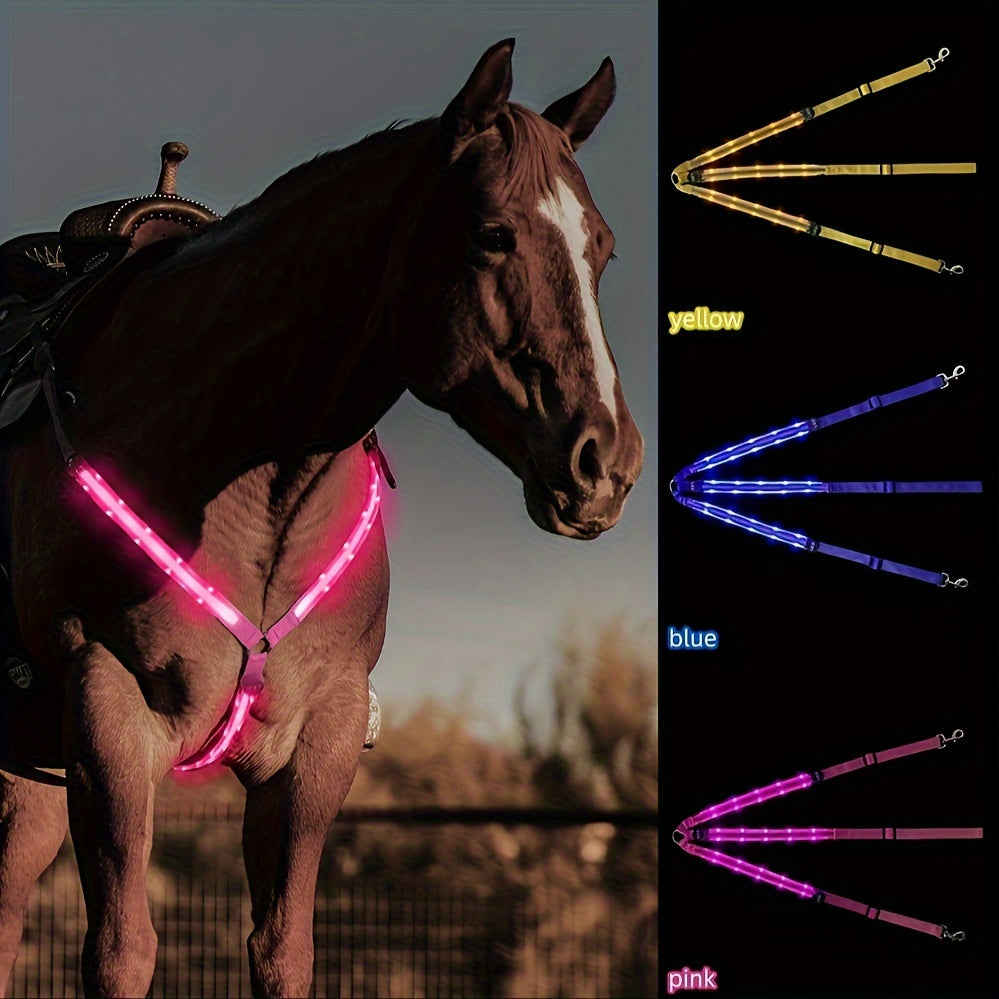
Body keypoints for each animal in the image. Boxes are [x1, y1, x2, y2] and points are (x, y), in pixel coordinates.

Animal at [0, 38, 643, 998]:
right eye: (492, 234)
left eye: (600, 247)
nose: (605, 461)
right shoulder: (109, 714)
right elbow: (121, 950)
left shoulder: (319, 741)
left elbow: (284, 949)